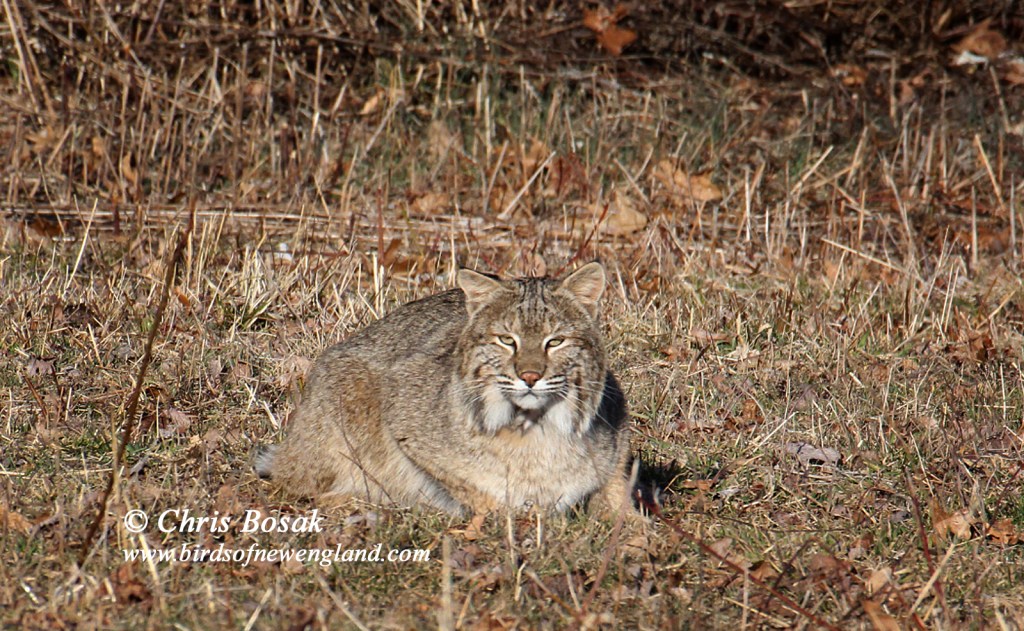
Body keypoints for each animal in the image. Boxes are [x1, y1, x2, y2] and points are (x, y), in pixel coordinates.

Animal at [256, 262, 633, 517]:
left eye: (555, 342)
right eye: (506, 340)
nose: (529, 376)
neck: (536, 426)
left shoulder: (619, 434)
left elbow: (617, 494)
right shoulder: (401, 417)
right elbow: (475, 492)